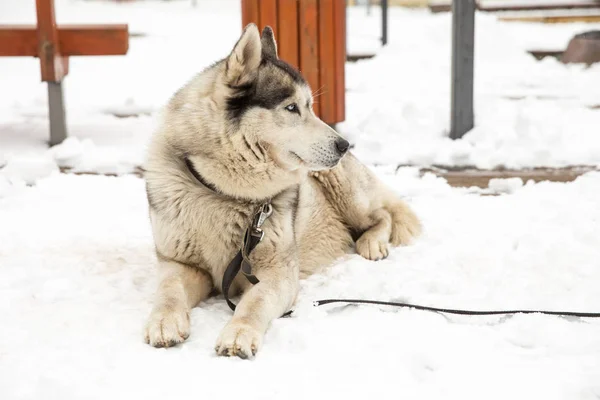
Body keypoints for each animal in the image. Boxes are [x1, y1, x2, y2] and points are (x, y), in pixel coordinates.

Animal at [143, 23, 420, 358]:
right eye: (291, 108)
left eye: (310, 107)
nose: (344, 145)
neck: (223, 192)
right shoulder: (181, 264)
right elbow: (169, 291)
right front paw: (164, 322)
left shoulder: (277, 273)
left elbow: (254, 302)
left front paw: (239, 333)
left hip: (342, 188)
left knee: (383, 214)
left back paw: (372, 243)